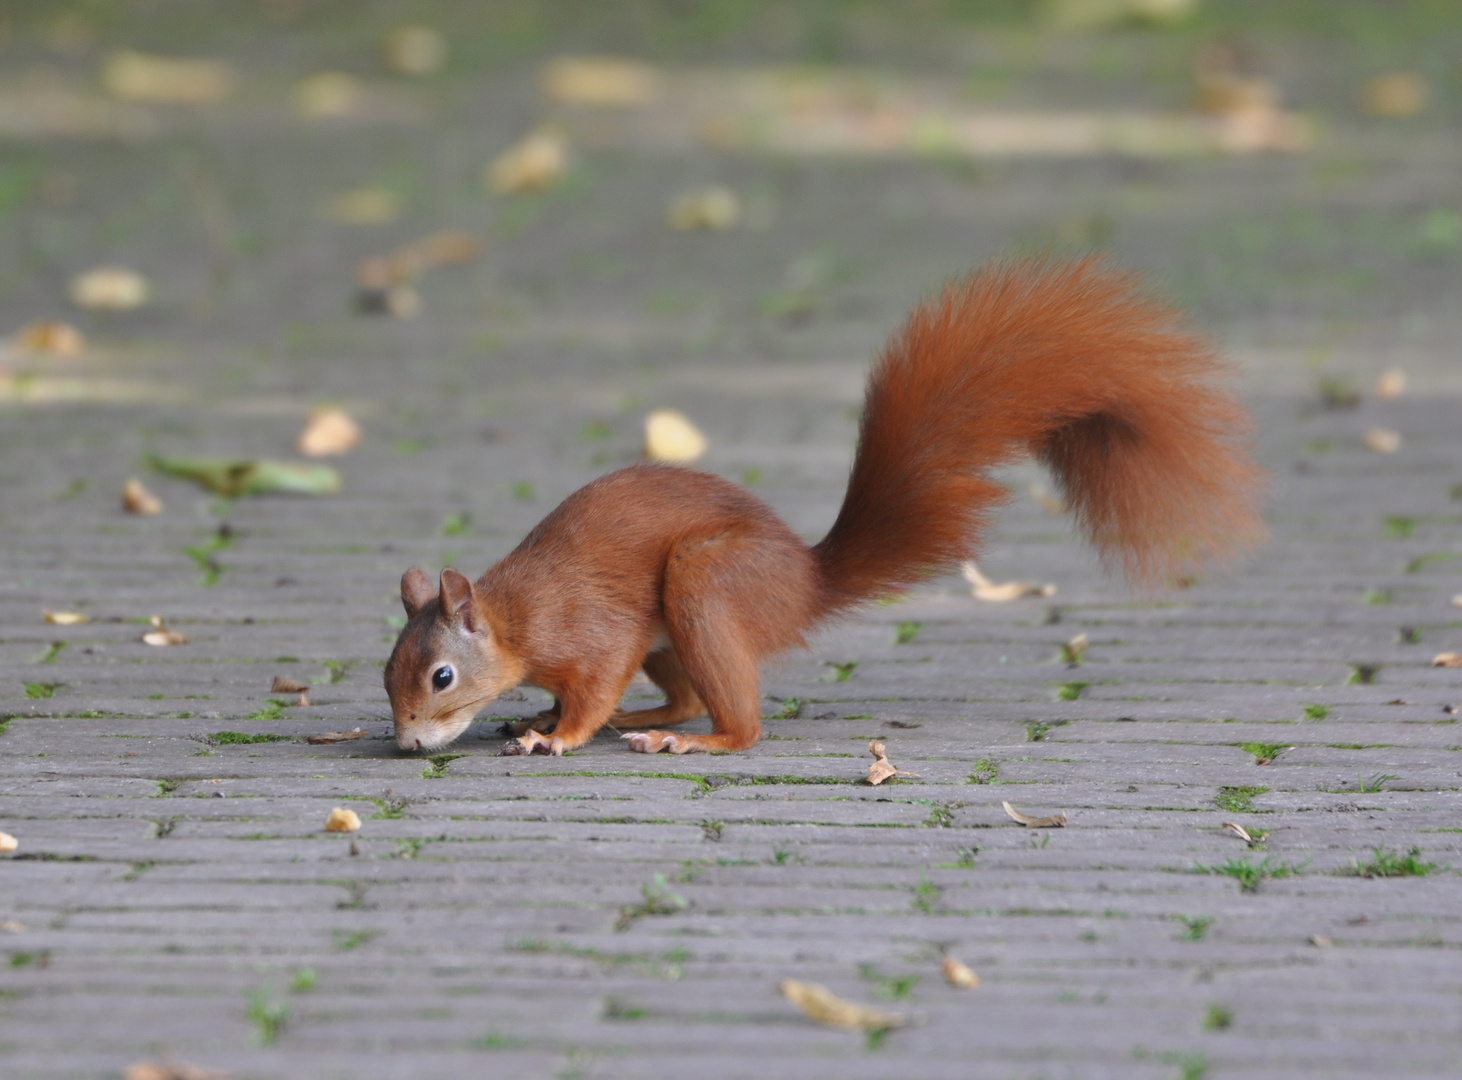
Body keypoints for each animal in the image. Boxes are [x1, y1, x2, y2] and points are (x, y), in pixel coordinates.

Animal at [383, 257, 1263, 754]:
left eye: (441, 676)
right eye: (388, 670)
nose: (407, 743)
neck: (518, 616)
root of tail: (807, 583)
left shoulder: (593, 633)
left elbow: (592, 685)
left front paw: (556, 736)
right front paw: (534, 719)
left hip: (705, 582)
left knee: (734, 720)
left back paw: (688, 741)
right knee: (688, 692)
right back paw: (650, 718)